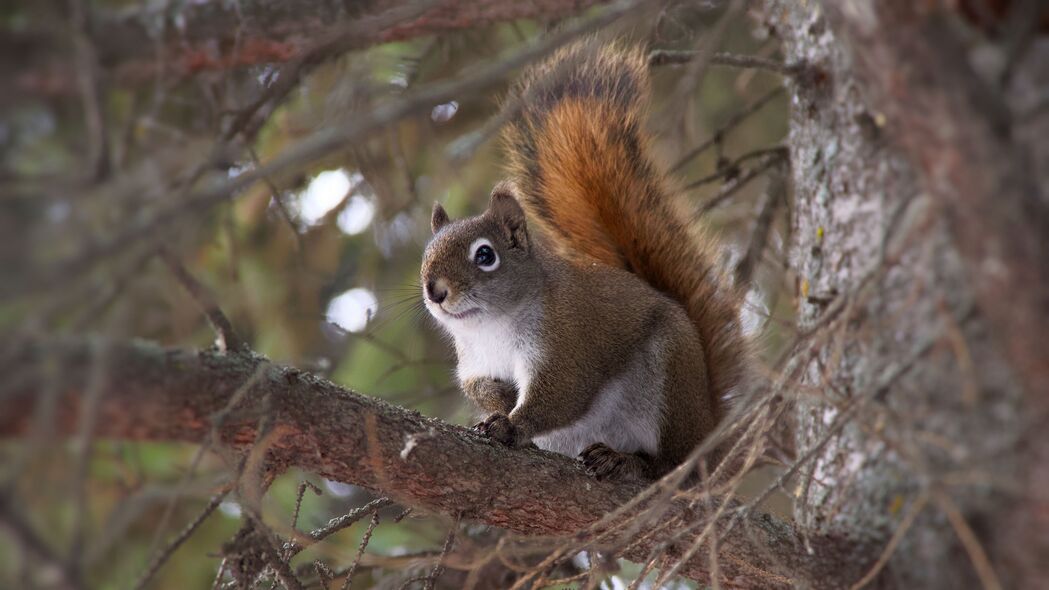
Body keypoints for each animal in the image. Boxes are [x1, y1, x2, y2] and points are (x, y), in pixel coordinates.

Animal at [417, 42, 746, 482]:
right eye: (426, 255)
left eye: (485, 255)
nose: (435, 291)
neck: (492, 326)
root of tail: (708, 430)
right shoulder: (476, 364)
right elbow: (485, 389)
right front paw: (497, 409)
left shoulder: (567, 342)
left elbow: (562, 396)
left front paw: (511, 425)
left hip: (669, 381)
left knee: (670, 464)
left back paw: (627, 460)